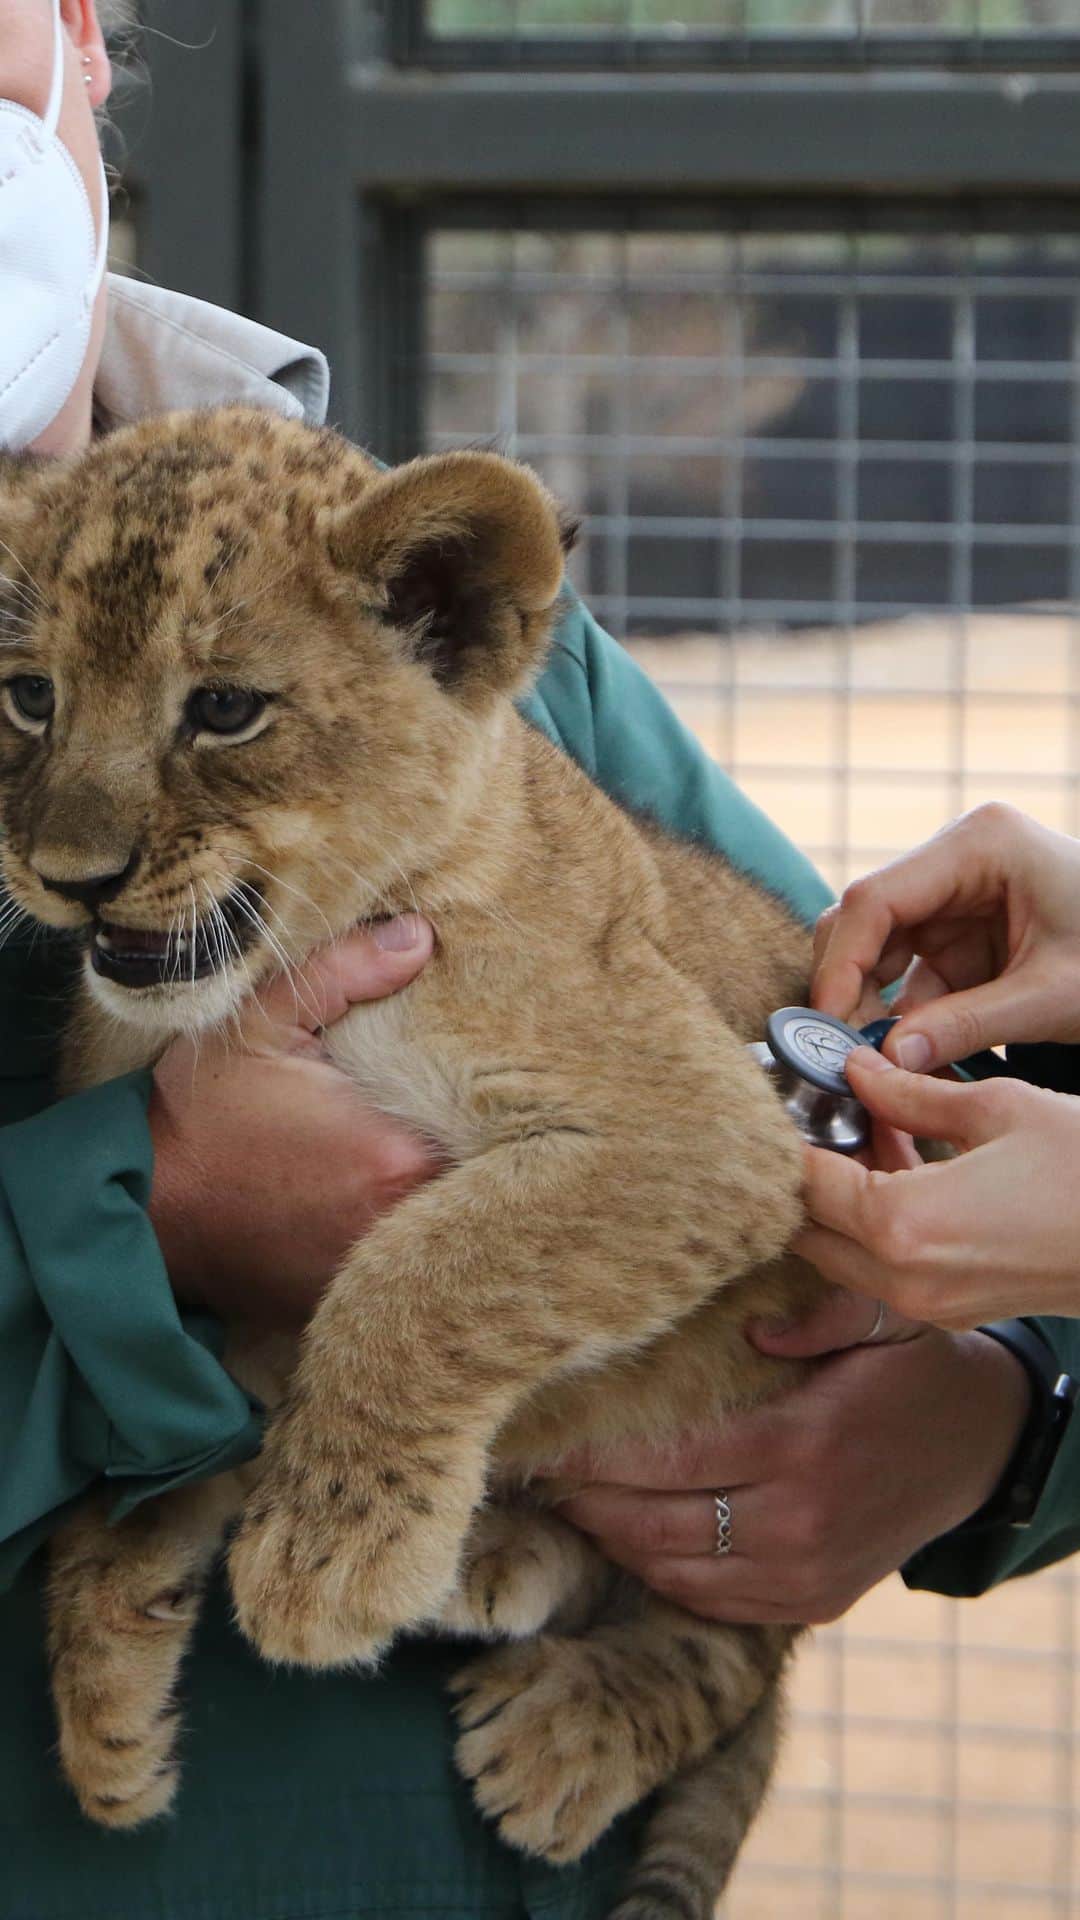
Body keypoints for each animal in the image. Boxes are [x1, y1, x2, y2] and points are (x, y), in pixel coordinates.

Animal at [0, 407, 823, 1919]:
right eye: (30, 696)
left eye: (224, 710)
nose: (70, 877)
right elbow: (144, 1456)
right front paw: (103, 1700)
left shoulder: (709, 1126)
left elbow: (426, 1271)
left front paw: (327, 1561)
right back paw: (499, 1557)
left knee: (738, 1645)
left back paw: (565, 1735)